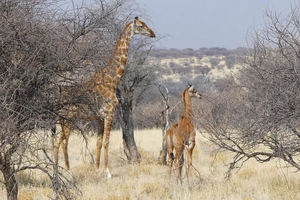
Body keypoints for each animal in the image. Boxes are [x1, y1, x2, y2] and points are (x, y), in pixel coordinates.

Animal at [52, 16, 155, 177]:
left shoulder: (100, 117)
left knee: (57, 140)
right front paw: (108, 172)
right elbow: (107, 142)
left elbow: (99, 142)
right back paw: (68, 172)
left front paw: (96, 169)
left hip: (60, 119)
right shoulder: (109, 114)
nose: (152, 34)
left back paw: (56, 172)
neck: (112, 79)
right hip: (67, 118)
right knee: (63, 140)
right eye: (141, 26)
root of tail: (57, 98)